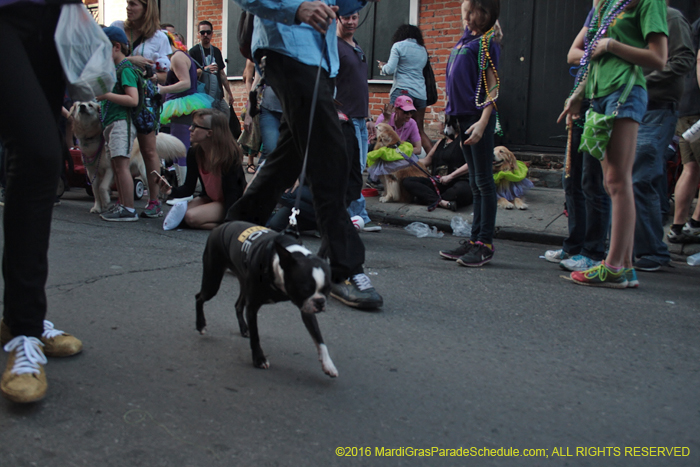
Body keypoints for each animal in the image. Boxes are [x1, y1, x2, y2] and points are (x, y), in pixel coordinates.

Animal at [193, 221, 338, 378]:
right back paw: (200, 325)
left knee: (238, 305)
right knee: (199, 297)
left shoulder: (307, 309)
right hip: (212, 281)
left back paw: (244, 328)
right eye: (305, 289)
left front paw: (328, 364)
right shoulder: (253, 306)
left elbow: (319, 337)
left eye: (328, 290)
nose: (320, 302)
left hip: (243, 281)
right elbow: (255, 335)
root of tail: (221, 226)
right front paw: (259, 359)